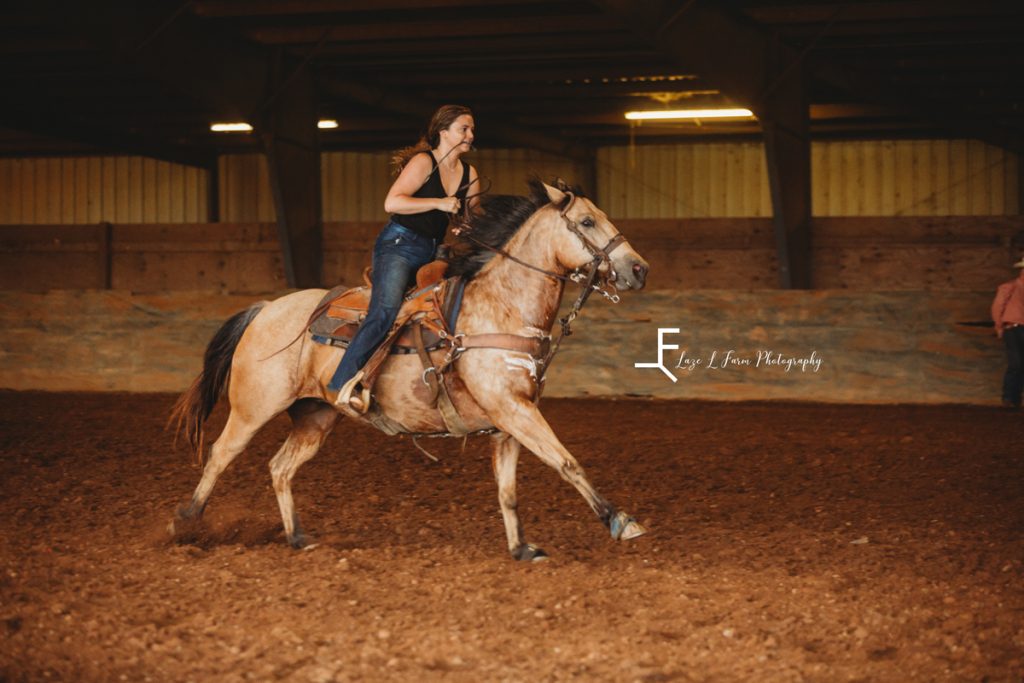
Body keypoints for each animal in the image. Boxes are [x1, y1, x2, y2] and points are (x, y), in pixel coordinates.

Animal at [167, 181, 647, 561]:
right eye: (587, 221)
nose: (639, 268)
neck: (500, 309)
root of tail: (265, 309)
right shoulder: (514, 411)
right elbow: (567, 462)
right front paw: (621, 521)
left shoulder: (509, 420)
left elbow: (509, 490)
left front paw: (521, 548)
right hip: (253, 408)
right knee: (221, 454)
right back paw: (185, 523)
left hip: (315, 417)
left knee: (280, 468)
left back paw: (298, 537)